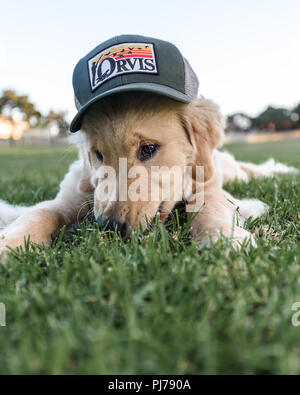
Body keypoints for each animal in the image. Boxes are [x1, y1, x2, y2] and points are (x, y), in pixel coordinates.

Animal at [0, 91, 296, 262]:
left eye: (149, 149)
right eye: (98, 154)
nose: (109, 227)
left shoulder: (208, 185)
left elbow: (209, 204)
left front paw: (226, 241)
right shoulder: (71, 196)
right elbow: (41, 212)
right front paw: (9, 244)